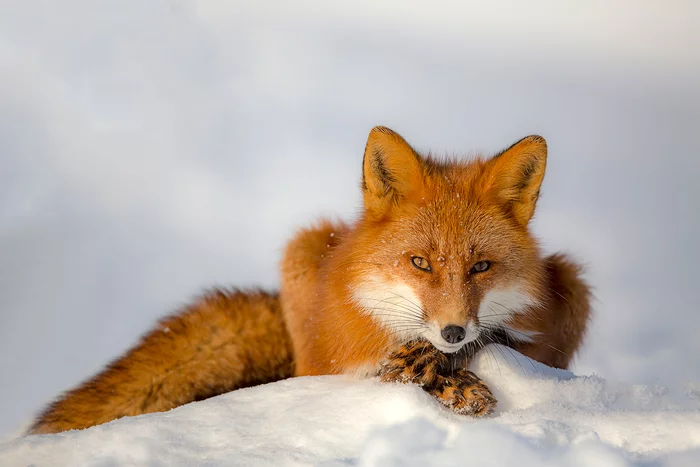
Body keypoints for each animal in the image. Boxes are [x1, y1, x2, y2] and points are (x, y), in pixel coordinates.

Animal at [30, 127, 592, 436]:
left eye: (480, 268)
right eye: (420, 263)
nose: (452, 331)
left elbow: (493, 337)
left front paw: (443, 362)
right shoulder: (344, 359)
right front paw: (443, 377)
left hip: (573, 284)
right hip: (302, 249)